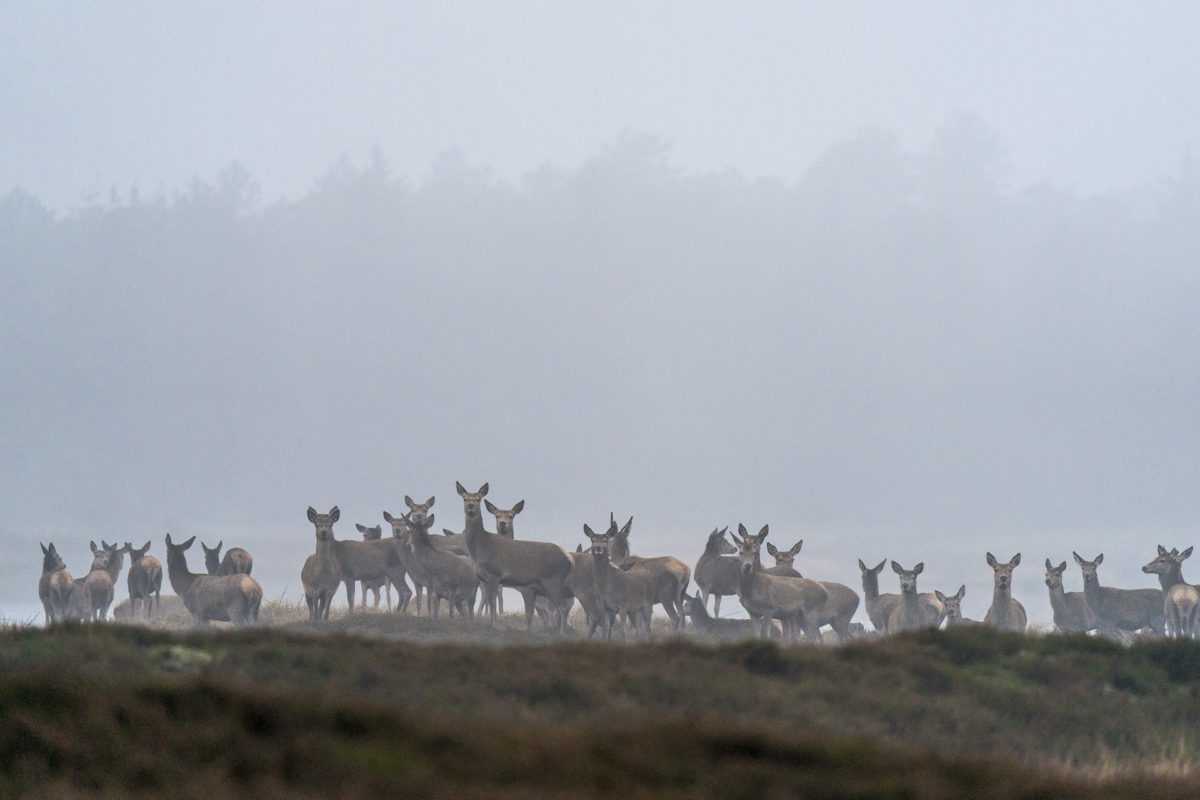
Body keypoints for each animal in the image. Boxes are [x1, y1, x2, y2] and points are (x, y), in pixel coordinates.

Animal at [456, 482, 573, 633]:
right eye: (464, 498)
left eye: (478, 499)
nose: (471, 506)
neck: (480, 548)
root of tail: (570, 560)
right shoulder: (483, 578)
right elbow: (488, 600)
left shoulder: (494, 574)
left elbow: (493, 601)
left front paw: (494, 625)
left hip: (553, 580)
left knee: (563, 607)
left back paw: (562, 633)